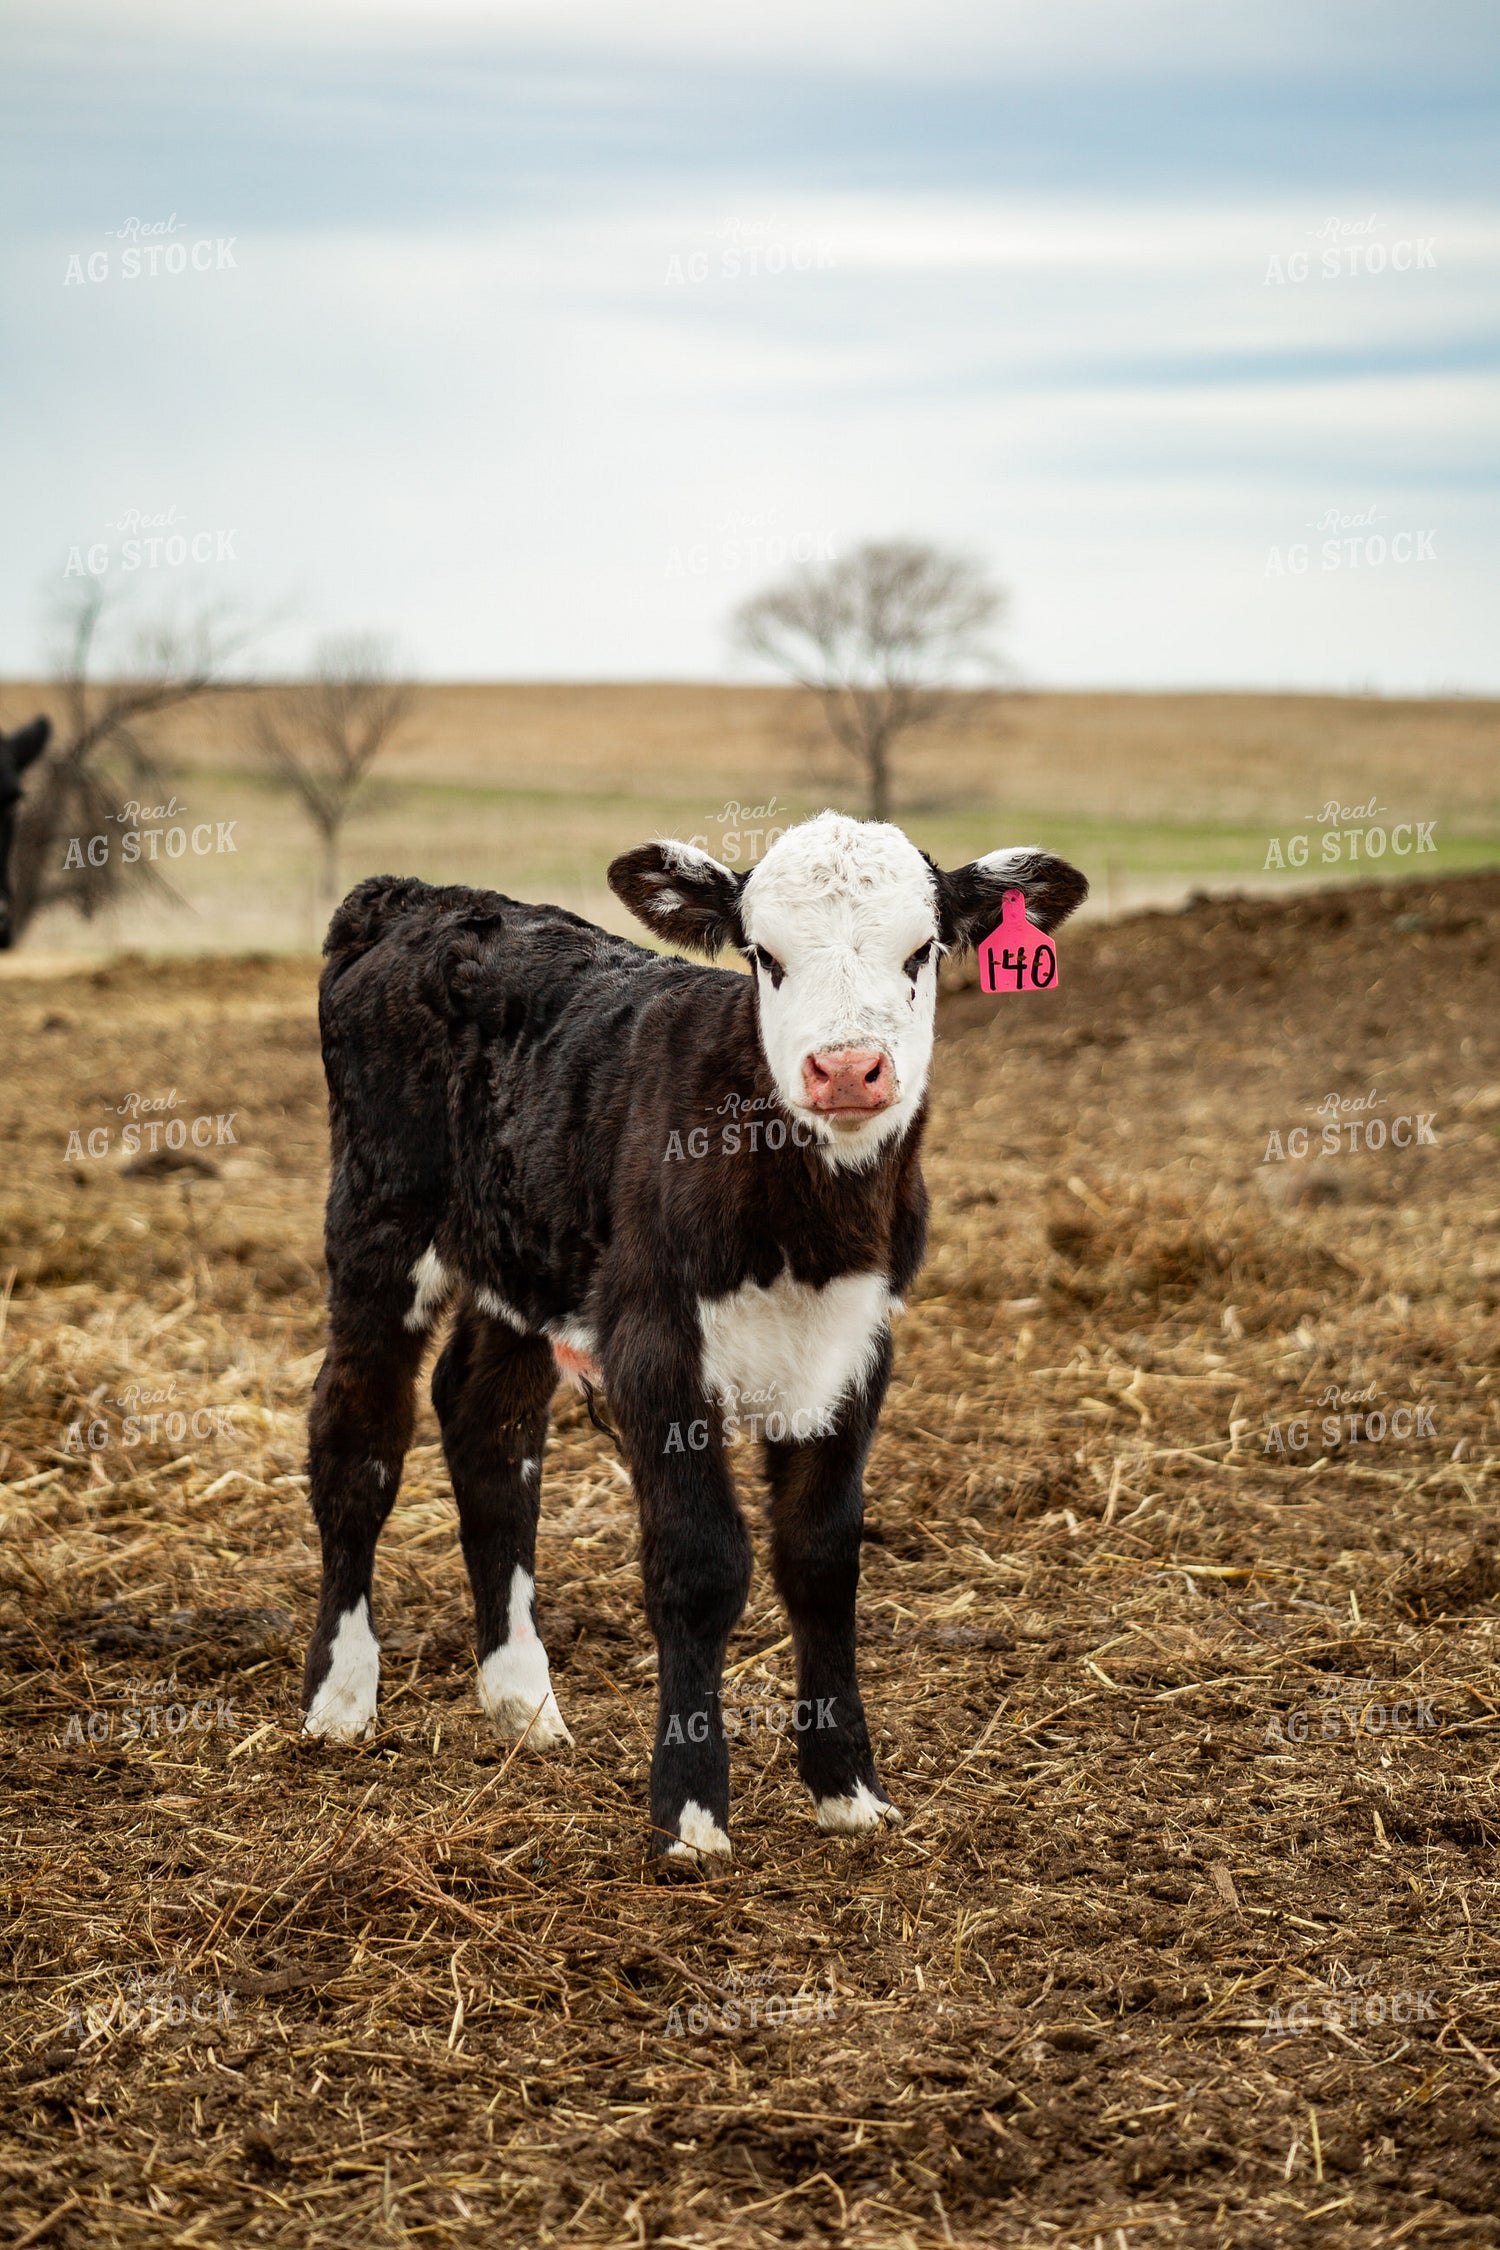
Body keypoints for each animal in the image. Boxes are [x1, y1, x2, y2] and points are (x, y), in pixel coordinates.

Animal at [301, 811, 1087, 1865]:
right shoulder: (656, 1344)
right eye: (764, 956)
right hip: (380, 1223)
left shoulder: (856, 1345)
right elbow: (702, 1564)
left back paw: (522, 1701)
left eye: (921, 950)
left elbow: (823, 1557)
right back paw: (341, 1696)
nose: (846, 1067)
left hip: (523, 1255)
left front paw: (849, 1790)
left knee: (487, 1426)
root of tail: (414, 896)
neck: (801, 1220)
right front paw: (689, 1814)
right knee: (358, 1433)